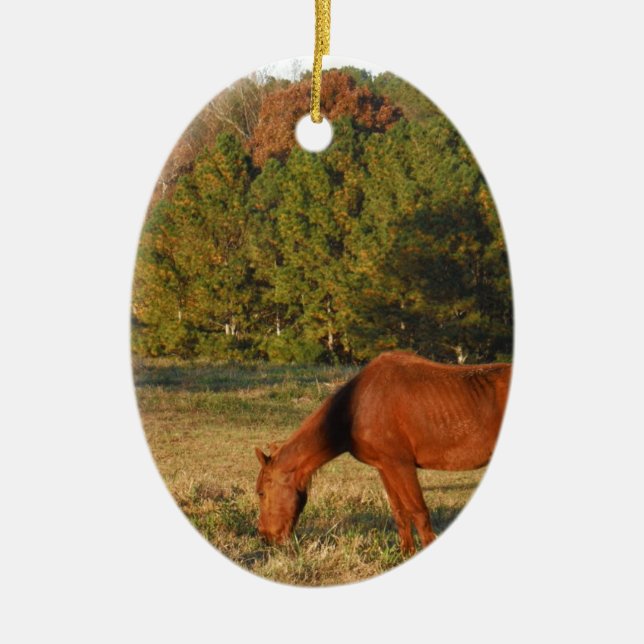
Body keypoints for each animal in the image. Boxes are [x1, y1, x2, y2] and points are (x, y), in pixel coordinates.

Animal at [254, 350, 511, 553]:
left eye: (261, 493)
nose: (265, 537)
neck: (357, 407)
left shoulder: (401, 465)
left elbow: (419, 513)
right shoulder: (385, 467)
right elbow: (399, 513)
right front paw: (406, 554)